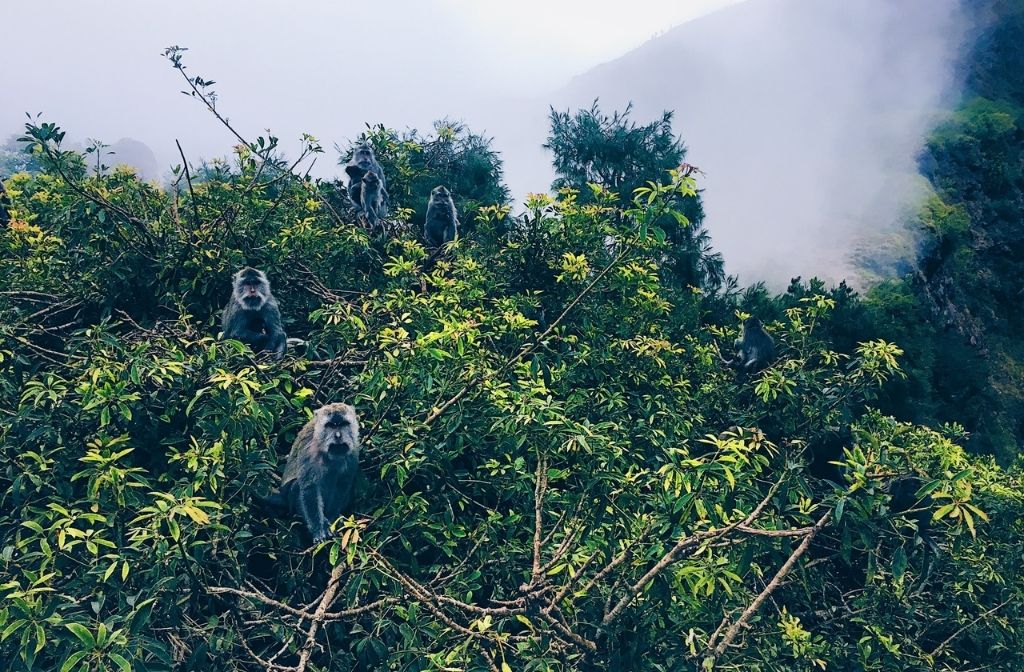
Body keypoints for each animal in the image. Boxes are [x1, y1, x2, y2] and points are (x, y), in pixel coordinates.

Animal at [262, 401, 362, 544]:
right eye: (331, 425)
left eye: (343, 424)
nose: (338, 436)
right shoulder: (310, 451)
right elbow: (309, 488)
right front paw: (319, 530)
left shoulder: (353, 451)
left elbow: (343, 486)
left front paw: (332, 519)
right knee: (297, 487)